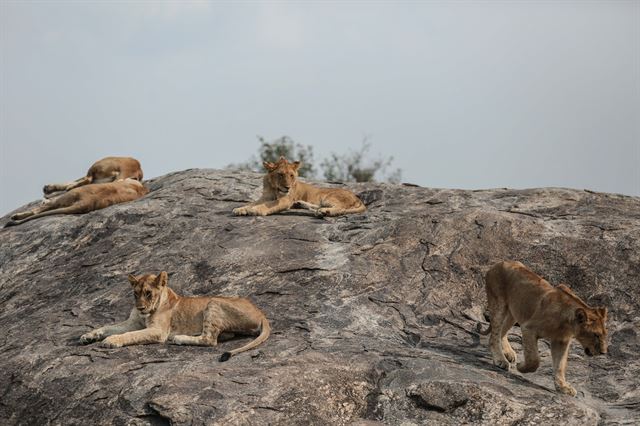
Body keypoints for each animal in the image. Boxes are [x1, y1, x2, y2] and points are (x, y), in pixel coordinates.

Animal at [80, 272, 270, 360]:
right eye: (136, 293)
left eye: (148, 293)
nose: (140, 307)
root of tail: (261, 313)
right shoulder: (132, 322)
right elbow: (108, 327)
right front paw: (88, 336)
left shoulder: (158, 331)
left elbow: (130, 335)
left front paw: (111, 341)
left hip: (213, 302)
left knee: (209, 340)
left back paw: (179, 338)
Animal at [231, 156, 364, 216]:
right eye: (280, 174)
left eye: (291, 175)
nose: (288, 187)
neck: (274, 188)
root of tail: (358, 199)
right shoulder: (265, 197)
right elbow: (253, 202)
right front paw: (241, 209)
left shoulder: (285, 200)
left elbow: (265, 205)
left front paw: (254, 210)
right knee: (318, 206)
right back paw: (301, 204)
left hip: (329, 196)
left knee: (341, 208)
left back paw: (324, 211)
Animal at [478, 260, 608, 396]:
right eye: (596, 334)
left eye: (604, 334)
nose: (603, 352)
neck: (567, 324)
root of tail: (500, 262)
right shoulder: (528, 328)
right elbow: (534, 359)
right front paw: (521, 367)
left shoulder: (561, 341)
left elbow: (560, 365)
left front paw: (563, 386)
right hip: (499, 304)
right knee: (494, 335)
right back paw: (501, 360)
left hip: (514, 312)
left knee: (502, 332)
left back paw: (508, 353)